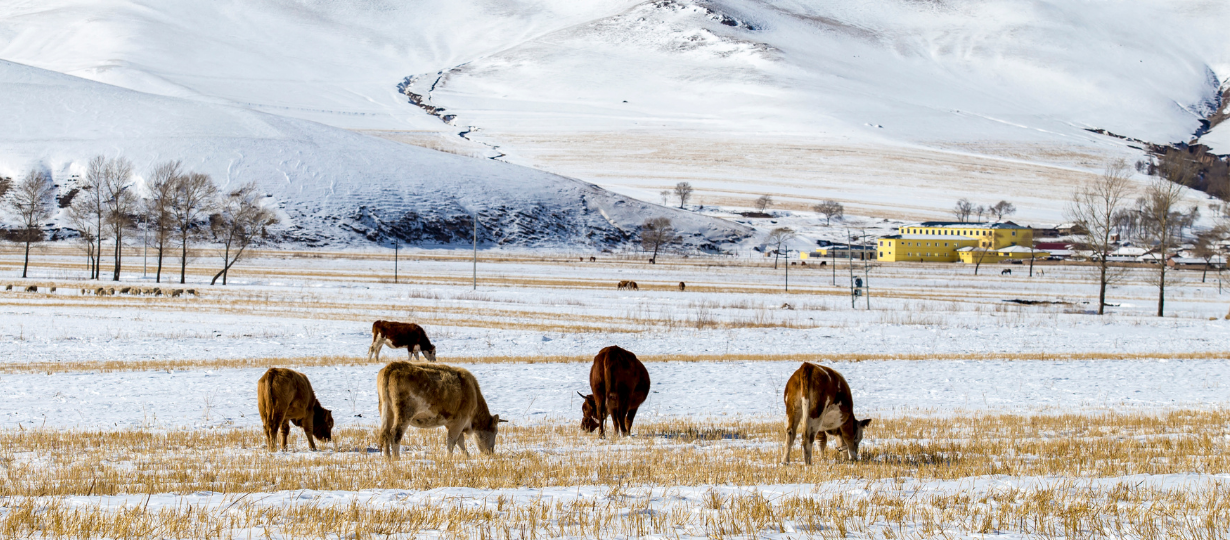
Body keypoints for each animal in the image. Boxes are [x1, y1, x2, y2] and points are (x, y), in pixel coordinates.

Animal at [376, 361, 506, 457]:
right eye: (495, 432)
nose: (490, 452)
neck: (472, 391)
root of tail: (392, 367)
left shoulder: (451, 423)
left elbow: (460, 441)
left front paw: (466, 456)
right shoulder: (459, 421)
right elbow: (452, 441)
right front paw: (449, 458)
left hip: (387, 411)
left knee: (386, 433)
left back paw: (387, 458)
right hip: (404, 414)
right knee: (395, 434)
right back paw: (396, 459)